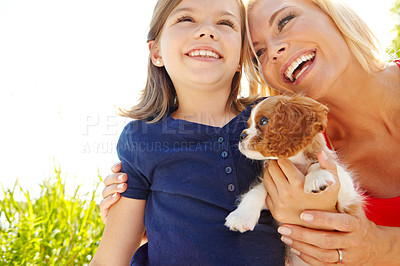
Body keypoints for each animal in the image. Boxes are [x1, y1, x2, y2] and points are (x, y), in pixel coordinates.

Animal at [223, 94, 364, 234]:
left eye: (263, 121)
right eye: (248, 124)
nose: (241, 136)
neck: (294, 161)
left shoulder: (346, 200)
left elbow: (321, 166)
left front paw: (317, 177)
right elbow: (257, 191)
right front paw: (241, 216)